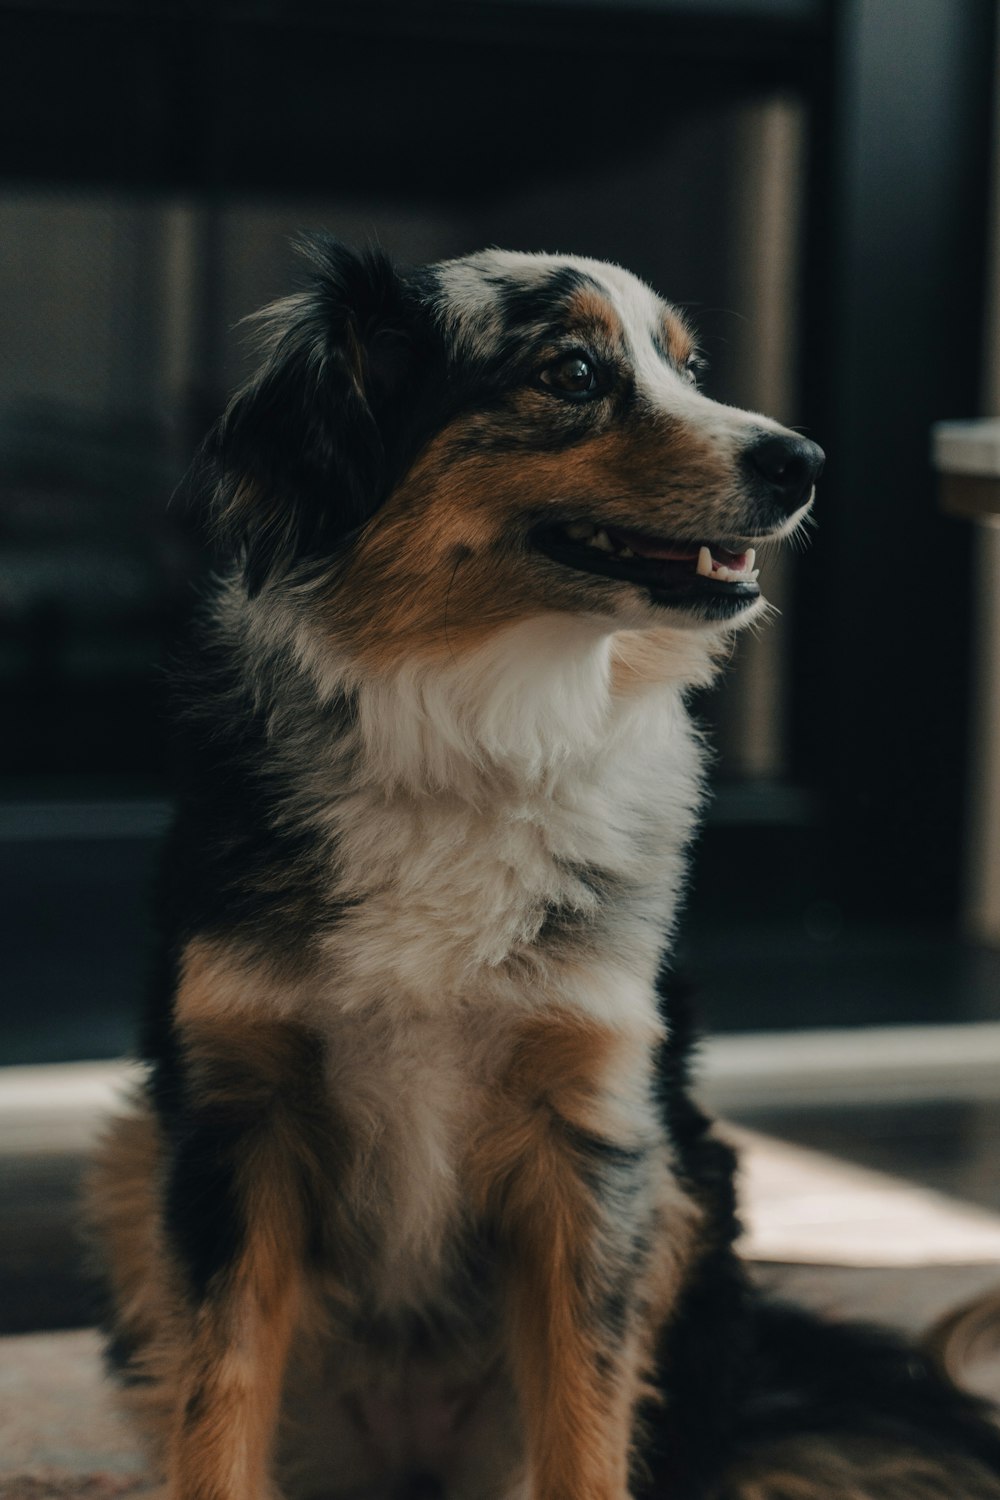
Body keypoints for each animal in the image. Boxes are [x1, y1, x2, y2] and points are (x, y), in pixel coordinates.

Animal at [88, 243, 1000, 1500]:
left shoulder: (592, 1134)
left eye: (689, 368)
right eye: (569, 371)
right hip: (134, 1162)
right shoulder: (238, 1120)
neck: (479, 732)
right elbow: (216, 1410)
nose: (802, 460)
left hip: (686, 1193)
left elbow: (584, 1423)